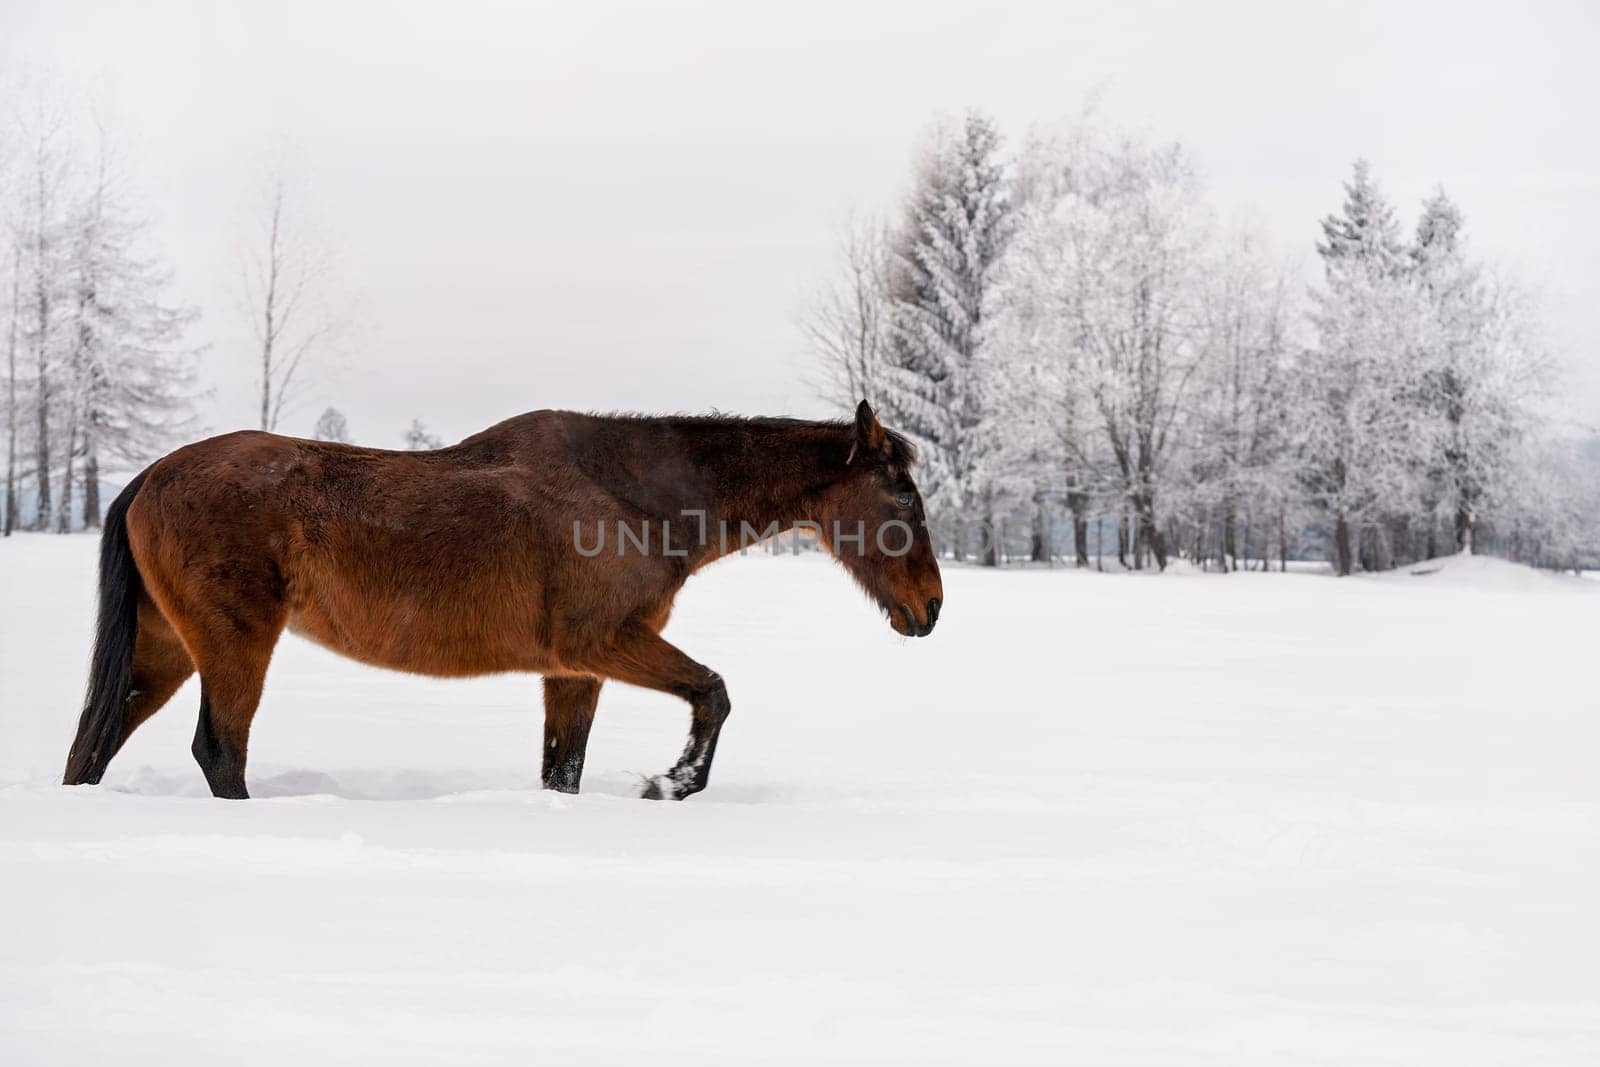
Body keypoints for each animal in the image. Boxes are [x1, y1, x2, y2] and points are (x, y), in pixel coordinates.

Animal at [62, 399, 934, 799]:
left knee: (92, 748)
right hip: (235, 643)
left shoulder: (574, 670)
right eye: (901, 495)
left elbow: (563, 769)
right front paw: (673, 781)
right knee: (220, 752)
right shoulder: (601, 642)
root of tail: (151, 475)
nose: (930, 607)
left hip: (165, 649)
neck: (630, 498)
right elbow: (714, 693)